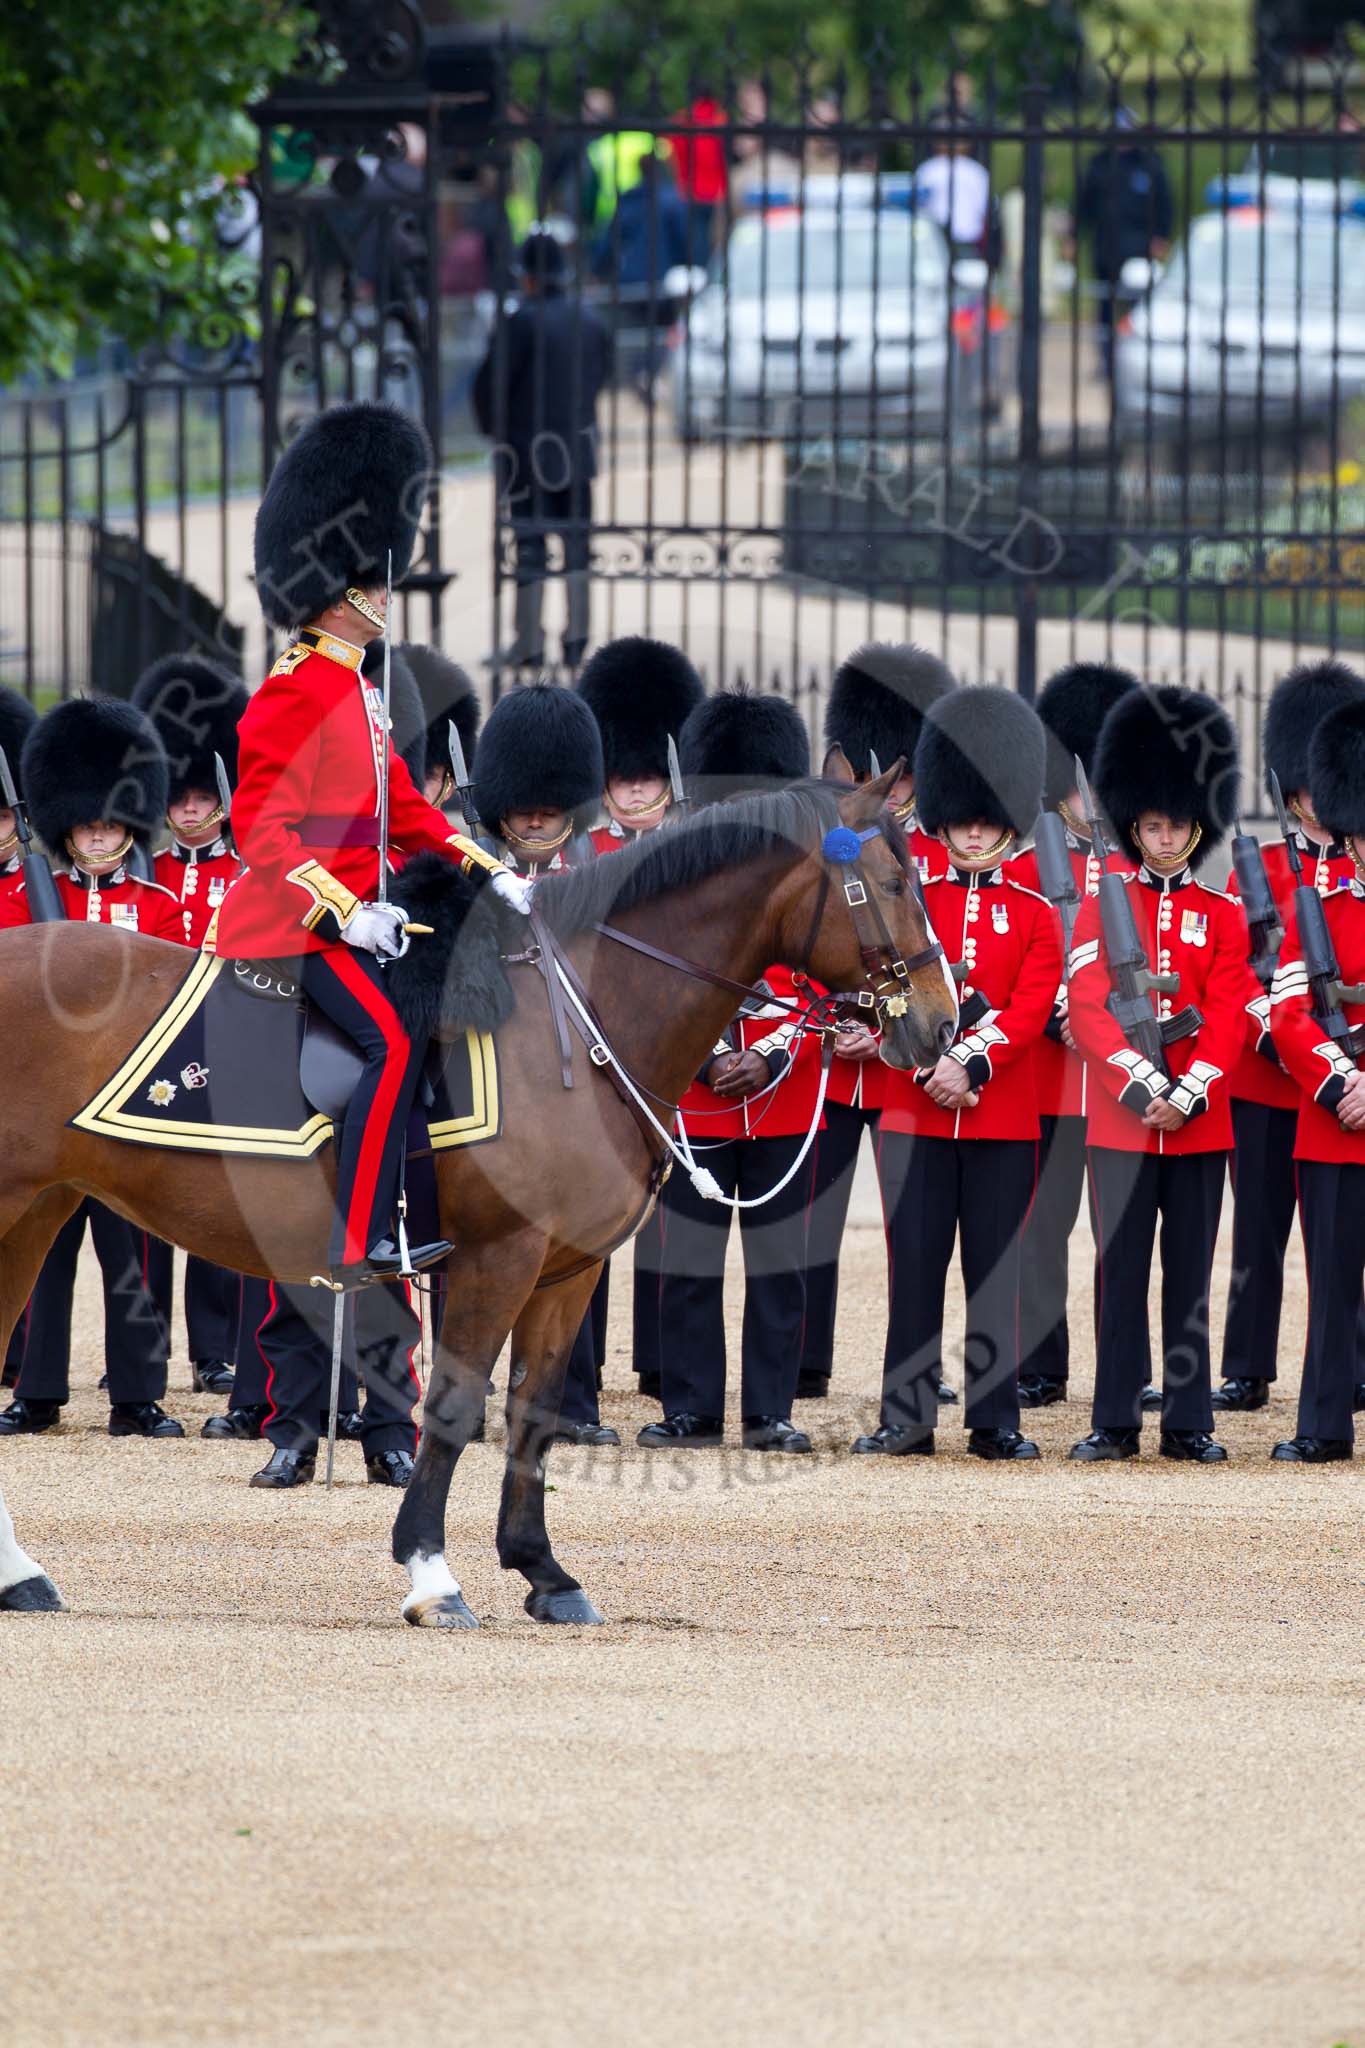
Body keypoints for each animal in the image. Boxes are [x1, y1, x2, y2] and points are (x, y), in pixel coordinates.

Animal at [0, 770, 957, 1630]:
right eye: (897, 883)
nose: (941, 1024)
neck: (580, 1023)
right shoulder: (498, 1256)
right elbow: (456, 1407)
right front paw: (431, 1574)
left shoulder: (565, 1270)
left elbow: (532, 1411)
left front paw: (544, 1573)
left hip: (37, 1212)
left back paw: (22, 1575)